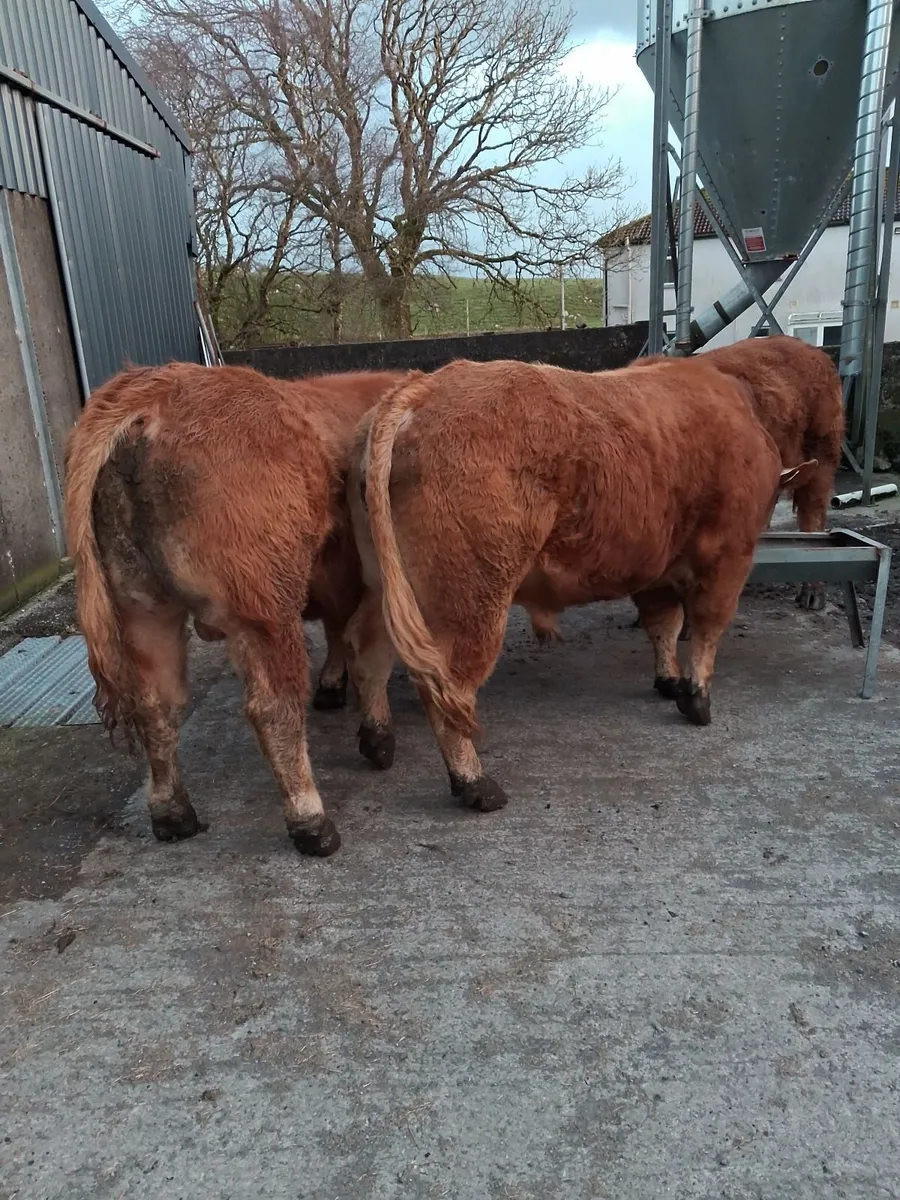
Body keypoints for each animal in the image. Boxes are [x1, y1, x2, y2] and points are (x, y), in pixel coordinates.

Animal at [65, 363, 406, 857]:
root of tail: (156, 387)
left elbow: (340, 634)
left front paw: (332, 683)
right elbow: (368, 653)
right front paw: (376, 734)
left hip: (141, 606)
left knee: (157, 706)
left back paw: (173, 815)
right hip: (264, 610)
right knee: (274, 707)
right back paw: (311, 821)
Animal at [347, 358, 816, 810]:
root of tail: (425, 386)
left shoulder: (658, 568)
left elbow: (663, 624)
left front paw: (669, 680)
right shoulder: (727, 558)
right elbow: (706, 627)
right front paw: (696, 699)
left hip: (389, 586)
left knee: (368, 648)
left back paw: (378, 740)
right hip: (468, 600)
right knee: (444, 688)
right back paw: (474, 784)